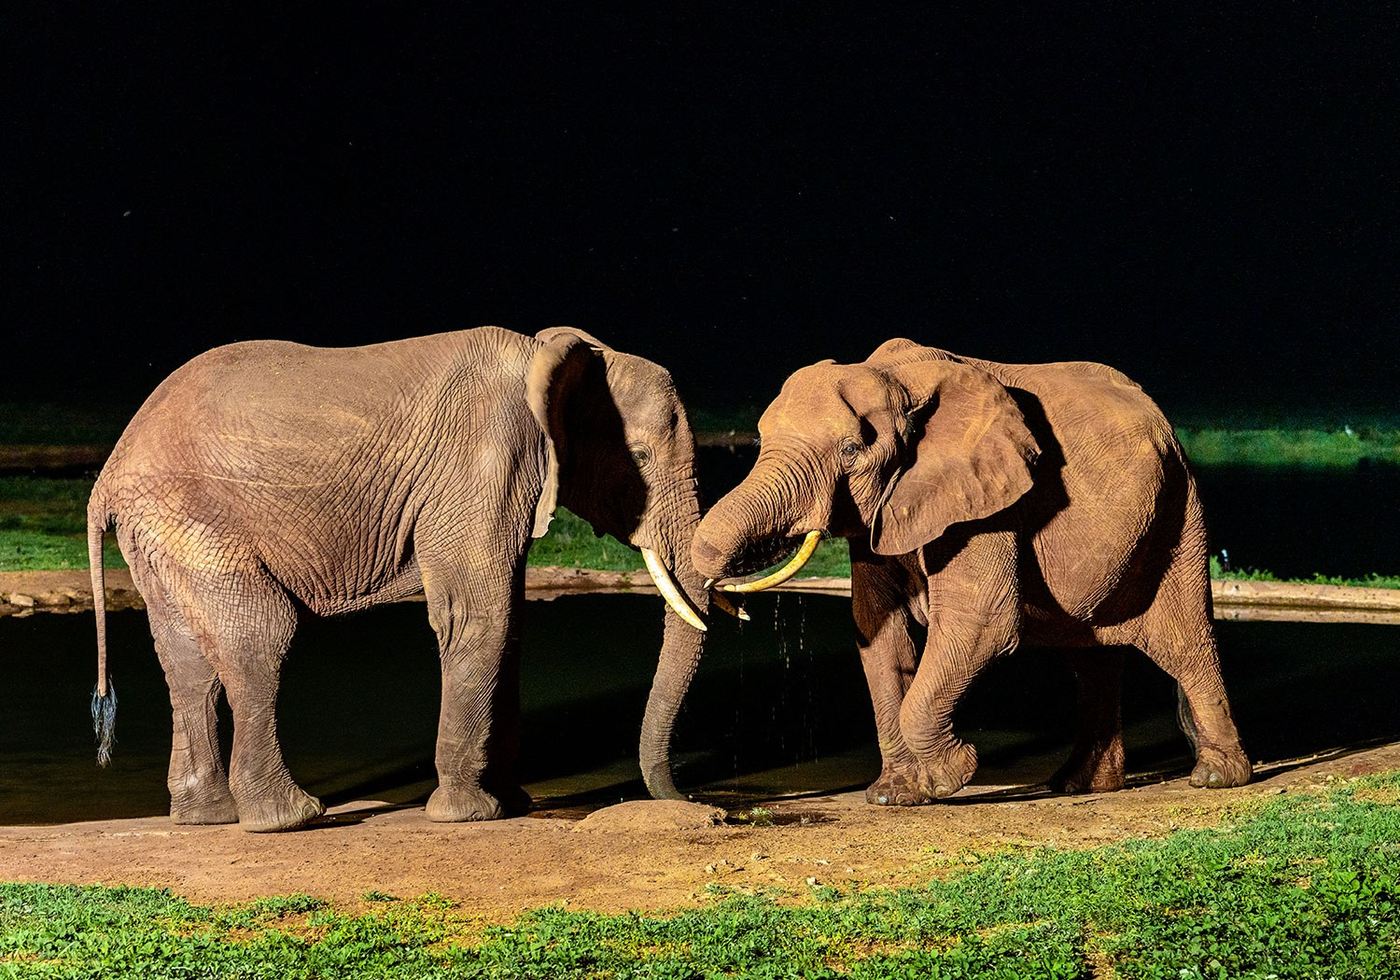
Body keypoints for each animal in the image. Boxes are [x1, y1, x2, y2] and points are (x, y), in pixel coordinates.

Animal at [87, 326, 710, 831]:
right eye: (640, 456)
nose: (685, 797)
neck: (550, 358)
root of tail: (108, 474)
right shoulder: (484, 458)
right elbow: (479, 616)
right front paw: (468, 816)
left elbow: (508, 623)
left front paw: (512, 805)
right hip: (192, 517)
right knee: (263, 637)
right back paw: (290, 819)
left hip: (160, 532)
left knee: (187, 662)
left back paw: (207, 817)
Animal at [692, 338, 1251, 805]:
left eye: (851, 450)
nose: (728, 598)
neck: (896, 379)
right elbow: (878, 632)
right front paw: (894, 796)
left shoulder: (989, 504)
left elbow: (981, 623)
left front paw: (952, 774)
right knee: (1090, 657)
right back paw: (1078, 785)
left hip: (1179, 510)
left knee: (1184, 643)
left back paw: (1216, 778)